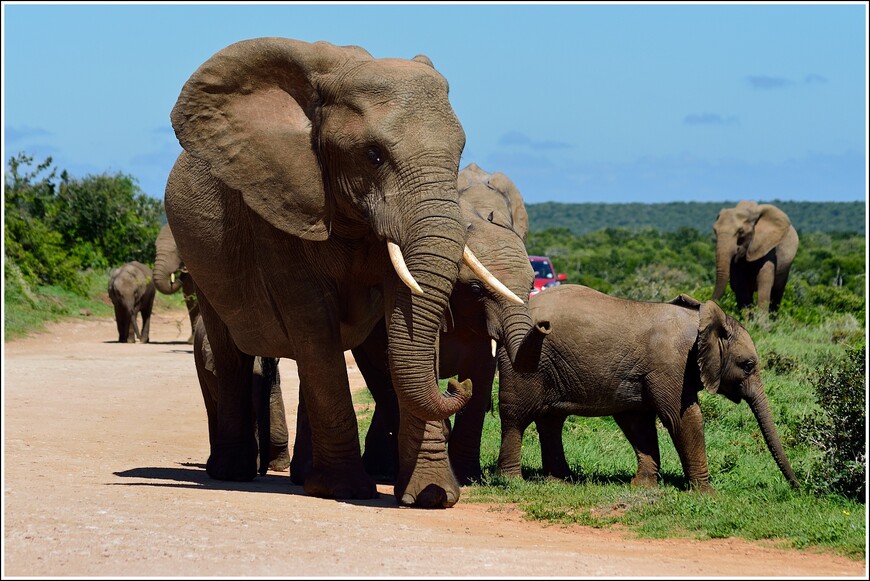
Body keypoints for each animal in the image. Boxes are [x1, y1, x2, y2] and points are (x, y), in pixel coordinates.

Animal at [164, 37, 516, 508]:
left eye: (458, 154)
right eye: (373, 155)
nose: (459, 385)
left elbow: (399, 317)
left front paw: (432, 496)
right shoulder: (279, 208)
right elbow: (314, 322)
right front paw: (347, 490)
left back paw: (302, 478)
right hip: (202, 260)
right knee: (231, 350)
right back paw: (232, 472)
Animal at [498, 284, 804, 492]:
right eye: (748, 365)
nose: (798, 487)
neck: (700, 322)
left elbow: (639, 422)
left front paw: (642, 486)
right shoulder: (671, 364)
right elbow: (682, 418)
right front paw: (707, 494)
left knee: (552, 420)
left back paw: (561, 481)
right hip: (525, 363)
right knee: (516, 417)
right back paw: (512, 481)